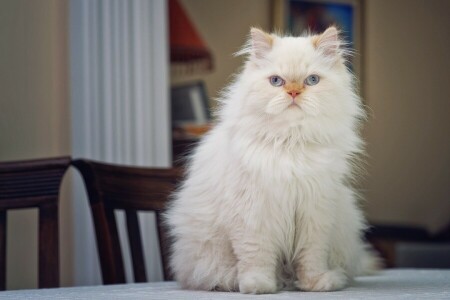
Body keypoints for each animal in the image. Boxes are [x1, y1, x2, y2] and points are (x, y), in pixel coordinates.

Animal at [165, 27, 380, 294]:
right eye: (276, 81)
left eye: (312, 80)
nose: (294, 92)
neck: (291, 142)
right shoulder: (253, 214)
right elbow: (256, 257)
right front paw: (258, 286)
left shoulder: (315, 213)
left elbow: (311, 257)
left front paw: (316, 284)